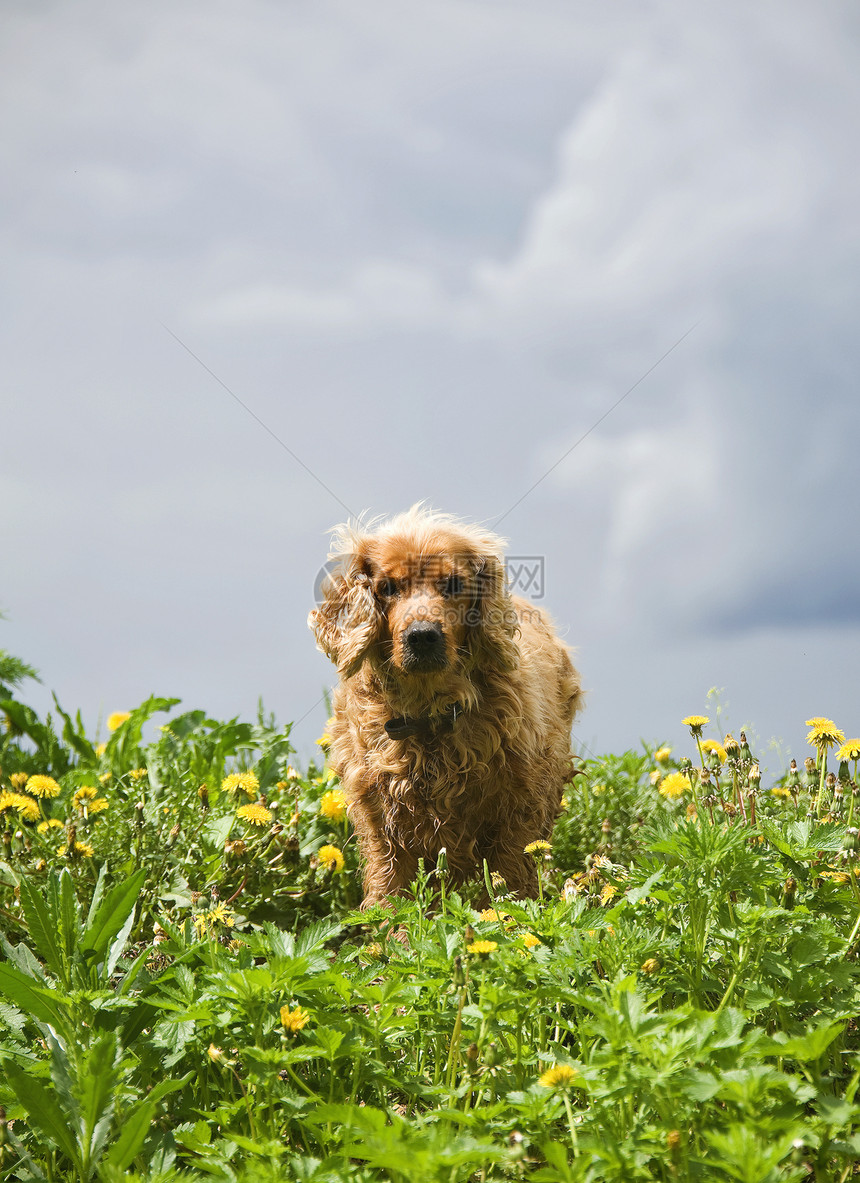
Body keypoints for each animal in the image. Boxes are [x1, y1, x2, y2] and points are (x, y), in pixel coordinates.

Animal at [309, 503, 584, 899]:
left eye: (453, 584)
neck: (429, 711)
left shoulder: (517, 815)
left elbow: (512, 883)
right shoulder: (382, 826)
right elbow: (390, 892)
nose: (422, 636)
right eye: (387, 587)